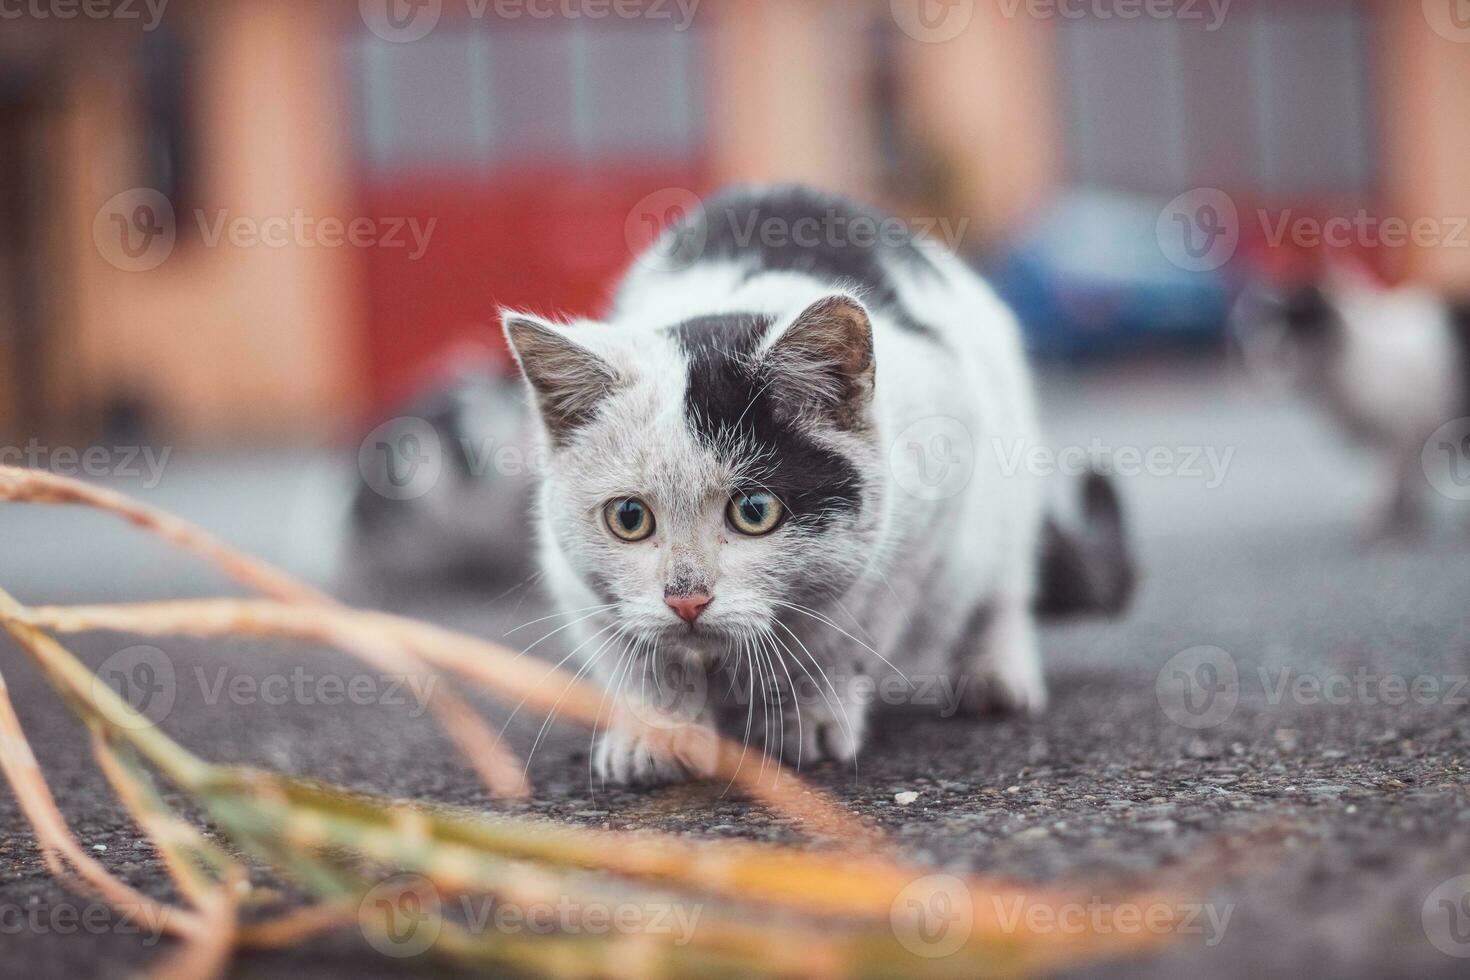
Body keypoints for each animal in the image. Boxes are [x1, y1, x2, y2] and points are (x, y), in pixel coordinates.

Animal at [490, 188, 1123, 787]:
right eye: (628, 518)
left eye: (754, 510)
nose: (686, 598)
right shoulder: (575, 580)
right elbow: (637, 657)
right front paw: (657, 735)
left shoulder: (918, 531)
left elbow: (840, 638)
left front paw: (807, 720)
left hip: (1004, 489)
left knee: (1001, 588)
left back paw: (995, 677)